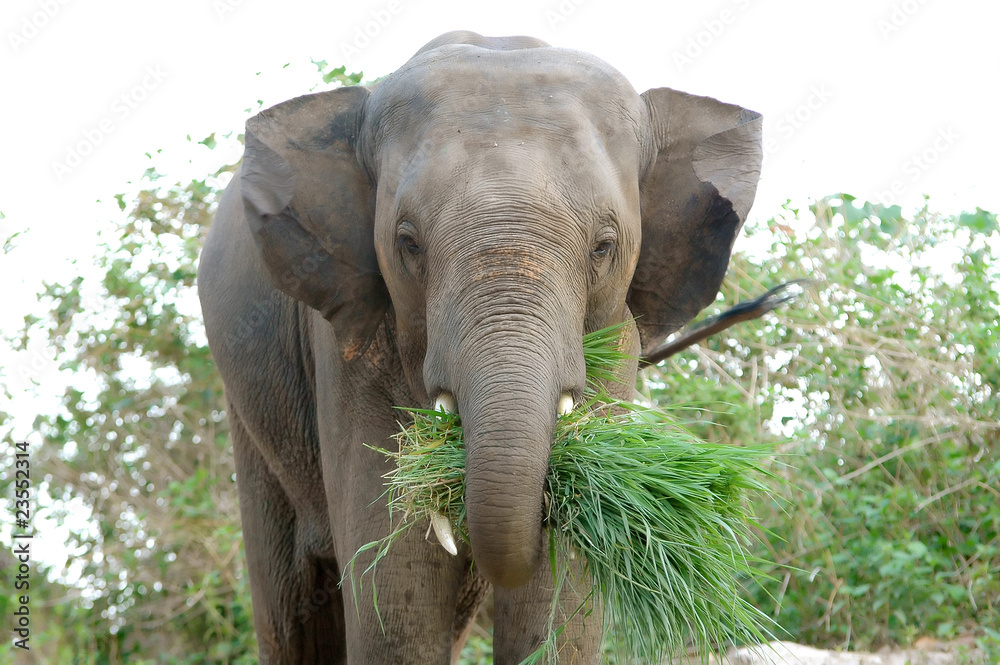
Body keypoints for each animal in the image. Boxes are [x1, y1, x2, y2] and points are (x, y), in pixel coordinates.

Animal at [197, 30, 763, 664]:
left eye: (604, 247)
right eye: (408, 243)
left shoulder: (617, 334)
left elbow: (563, 589)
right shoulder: (351, 340)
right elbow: (397, 592)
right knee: (291, 610)